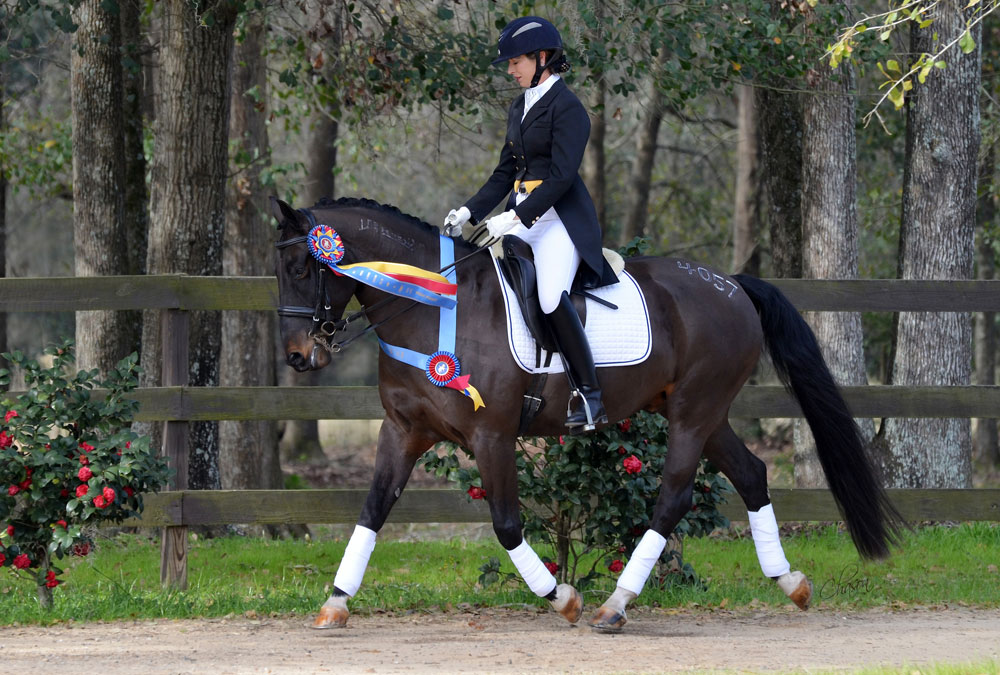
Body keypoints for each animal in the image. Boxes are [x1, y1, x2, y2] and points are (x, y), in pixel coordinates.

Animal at [270, 195, 904, 632]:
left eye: (303, 268)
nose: (299, 356)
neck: (434, 306)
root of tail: (731, 286)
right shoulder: (404, 431)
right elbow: (373, 510)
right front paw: (334, 603)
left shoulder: (492, 434)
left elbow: (506, 525)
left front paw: (564, 598)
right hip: (705, 414)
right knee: (752, 474)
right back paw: (790, 582)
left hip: (693, 414)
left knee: (673, 498)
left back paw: (614, 606)